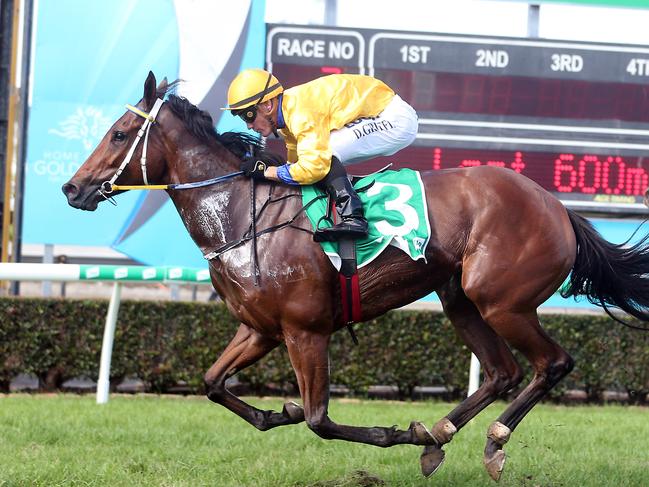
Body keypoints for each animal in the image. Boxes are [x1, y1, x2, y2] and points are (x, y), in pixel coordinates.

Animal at [63, 72, 648, 480]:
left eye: (118, 134)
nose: (72, 188)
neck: (238, 214)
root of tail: (558, 206)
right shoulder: (260, 330)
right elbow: (211, 383)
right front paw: (276, 412)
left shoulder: (306, 331)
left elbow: (319, 420)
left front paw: (388, 432)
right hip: (460, 298)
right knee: (502, 371)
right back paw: (437, 434)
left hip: (502, 301)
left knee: (553, 363)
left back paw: (491, 441)